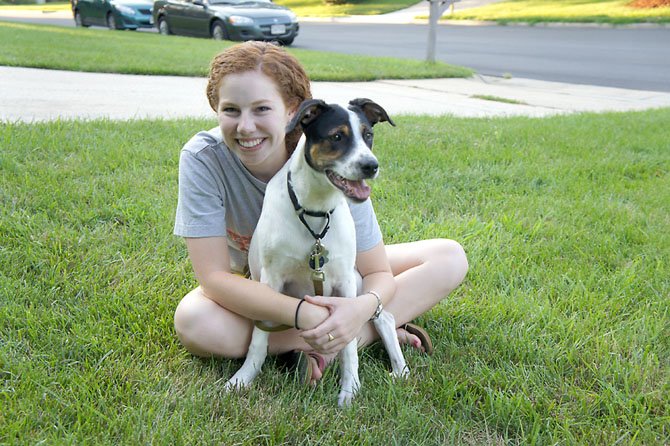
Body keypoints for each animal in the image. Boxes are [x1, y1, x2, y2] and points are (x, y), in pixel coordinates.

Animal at [227, 97, 410, 408]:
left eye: (368, 135)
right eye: (337, 136)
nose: (371, 166)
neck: (315, 209)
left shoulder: (345, 285)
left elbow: (348, 344)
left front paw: (350, 389)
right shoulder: (270, 280)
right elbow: (259, 339)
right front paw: (243, 378)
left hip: (357, 283)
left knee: (383, 317)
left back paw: (401, 368)